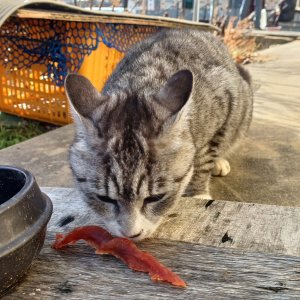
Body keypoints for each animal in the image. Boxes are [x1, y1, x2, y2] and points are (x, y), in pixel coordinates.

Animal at [65, 29, 253, 240]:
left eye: (155, 198)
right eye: (104, 198)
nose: (131, 234)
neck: (139, 83)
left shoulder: (226, 101)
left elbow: (204, 159)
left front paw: (198, 193)